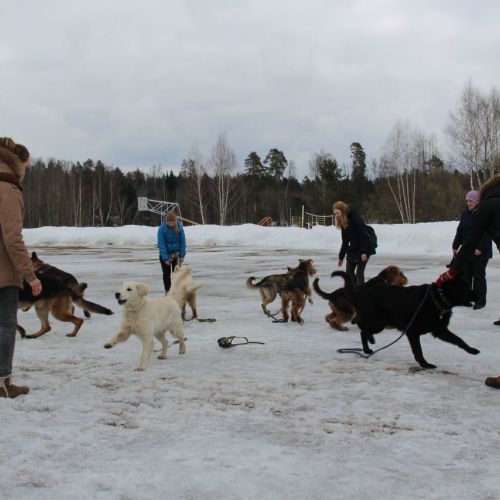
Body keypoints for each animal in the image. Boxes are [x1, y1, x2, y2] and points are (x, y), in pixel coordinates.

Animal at [330, 272, 478, 370]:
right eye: (464, 287)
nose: (478, 296)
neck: (436, 299)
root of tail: (363, 292)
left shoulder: (439, 330)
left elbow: (459, 340)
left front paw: (472, 350)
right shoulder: (412, 332)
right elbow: (418, 350)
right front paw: (425, 364)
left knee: (363, 329)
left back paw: (366, 349)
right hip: (378, 323)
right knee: (362, 328)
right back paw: (369, 343)